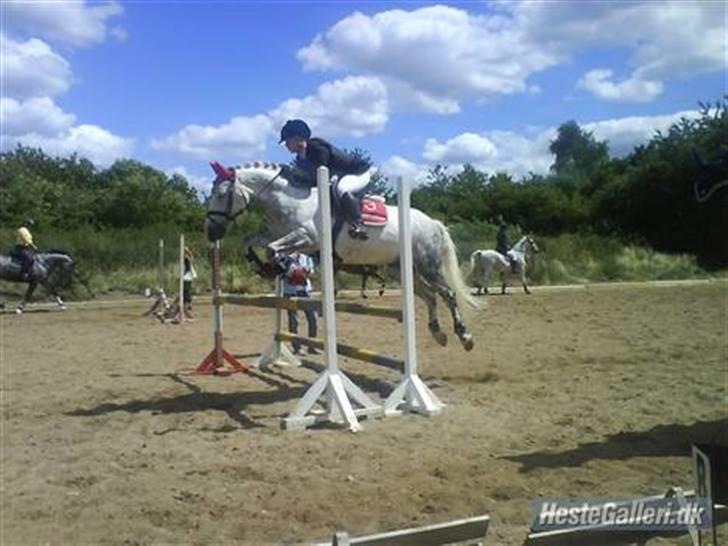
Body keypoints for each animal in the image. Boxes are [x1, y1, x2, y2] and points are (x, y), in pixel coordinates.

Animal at [205, 159, 478, 350]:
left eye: (221, 195)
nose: (211, 232)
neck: (289, 201)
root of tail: (433, 223)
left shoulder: (308, 238)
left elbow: (273, 248)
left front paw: (274, 267)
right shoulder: (279, 234)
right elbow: (250, 241)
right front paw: (261, 265)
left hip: (427, 264)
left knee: (447, 294)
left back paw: (464, 335)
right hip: (398, 269)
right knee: (430, 296)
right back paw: (438, 333)